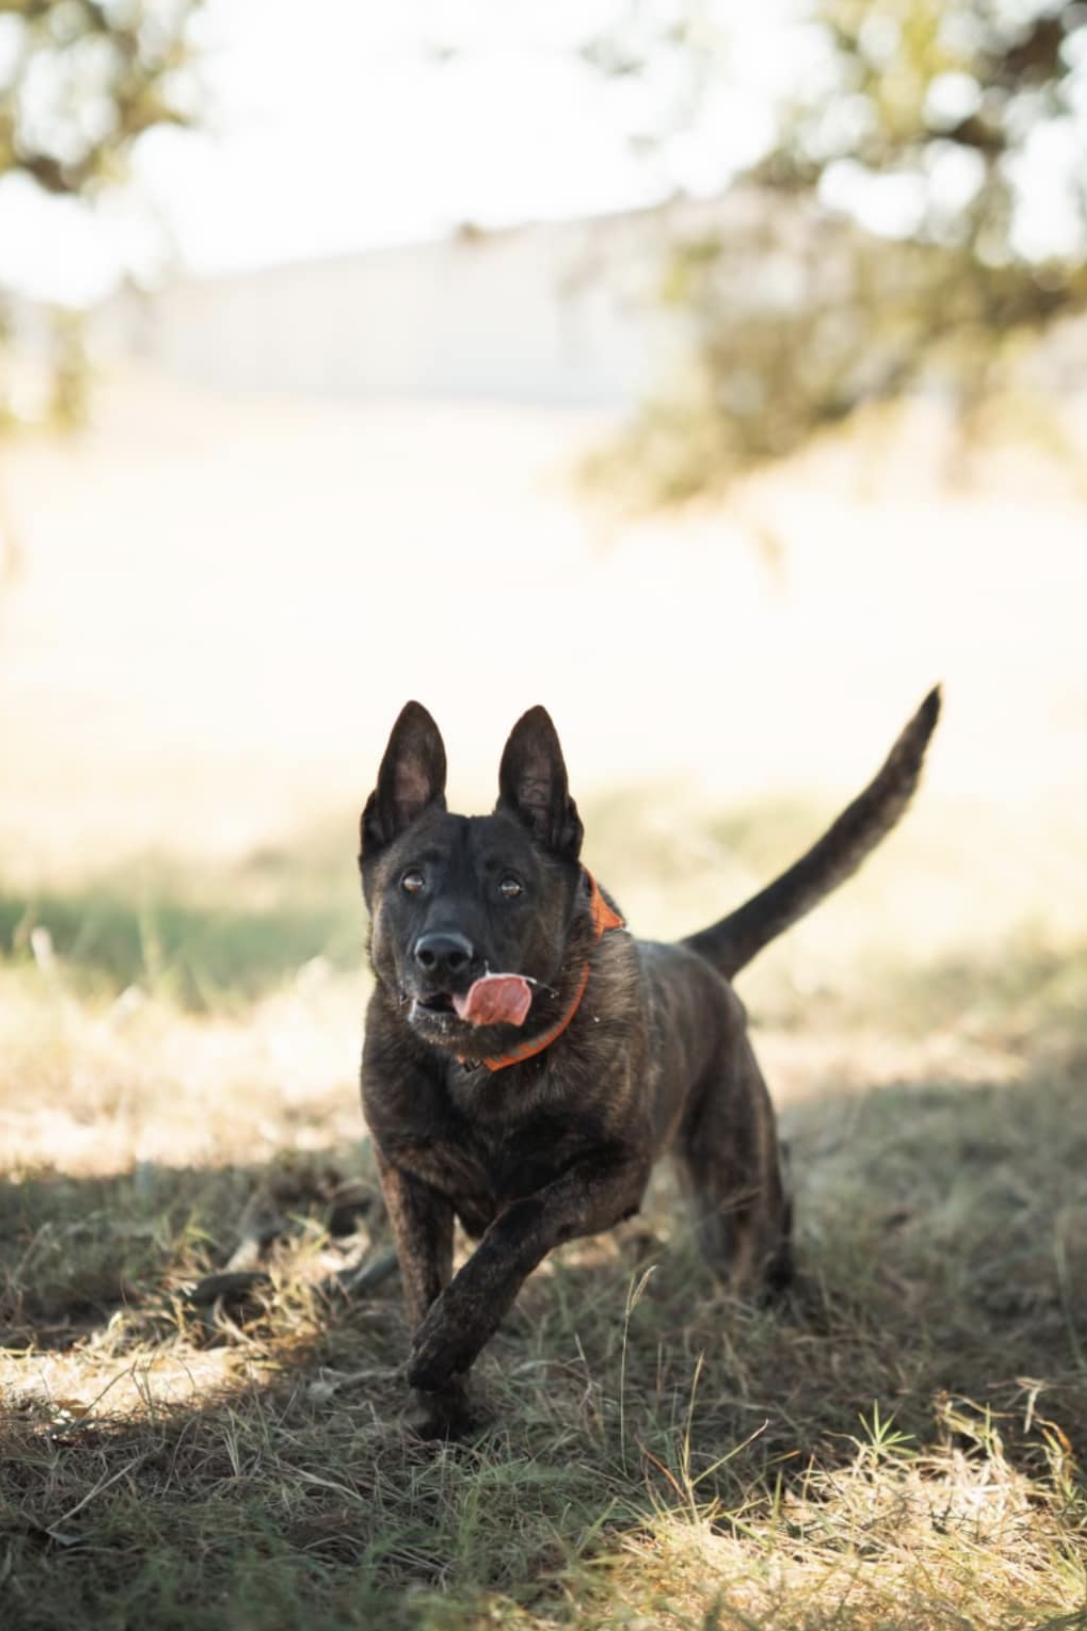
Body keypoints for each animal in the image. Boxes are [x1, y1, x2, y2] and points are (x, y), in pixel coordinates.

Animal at [359, 694, 933, 1435]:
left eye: (510, 887)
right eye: (411, 881)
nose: (442, 955)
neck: (480, 1068)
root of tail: (694, 953)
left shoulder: (614, 1173)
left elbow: (518, 1224)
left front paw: (450, 1338)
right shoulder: (409, 1177)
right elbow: (424, 1283)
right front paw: (443, 1410)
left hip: (735, 1191)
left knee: (766, 1233)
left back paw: (781, 1304)